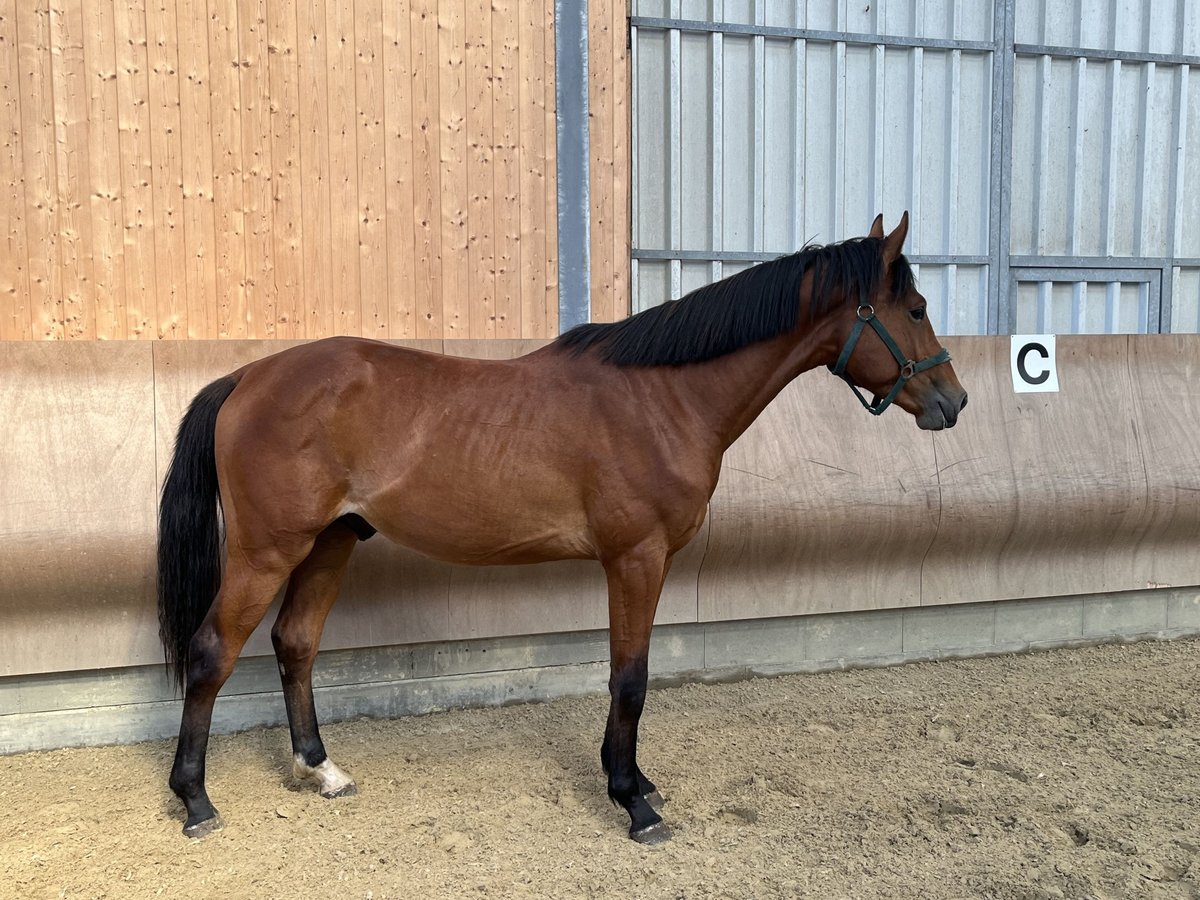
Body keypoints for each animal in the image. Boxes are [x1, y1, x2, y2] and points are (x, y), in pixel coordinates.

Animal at [157, 217, 964, 844]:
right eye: (917, 306)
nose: (953, 401)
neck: (662, 397)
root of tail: (248, 376)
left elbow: (629, 676)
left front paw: (636, 781)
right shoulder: (636, 559)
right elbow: (630, 679)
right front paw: (633, 802)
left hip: (330, 542)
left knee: (296, 643)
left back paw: (320, 769)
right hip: (267, 551)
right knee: (211, 651)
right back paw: (195, 799)